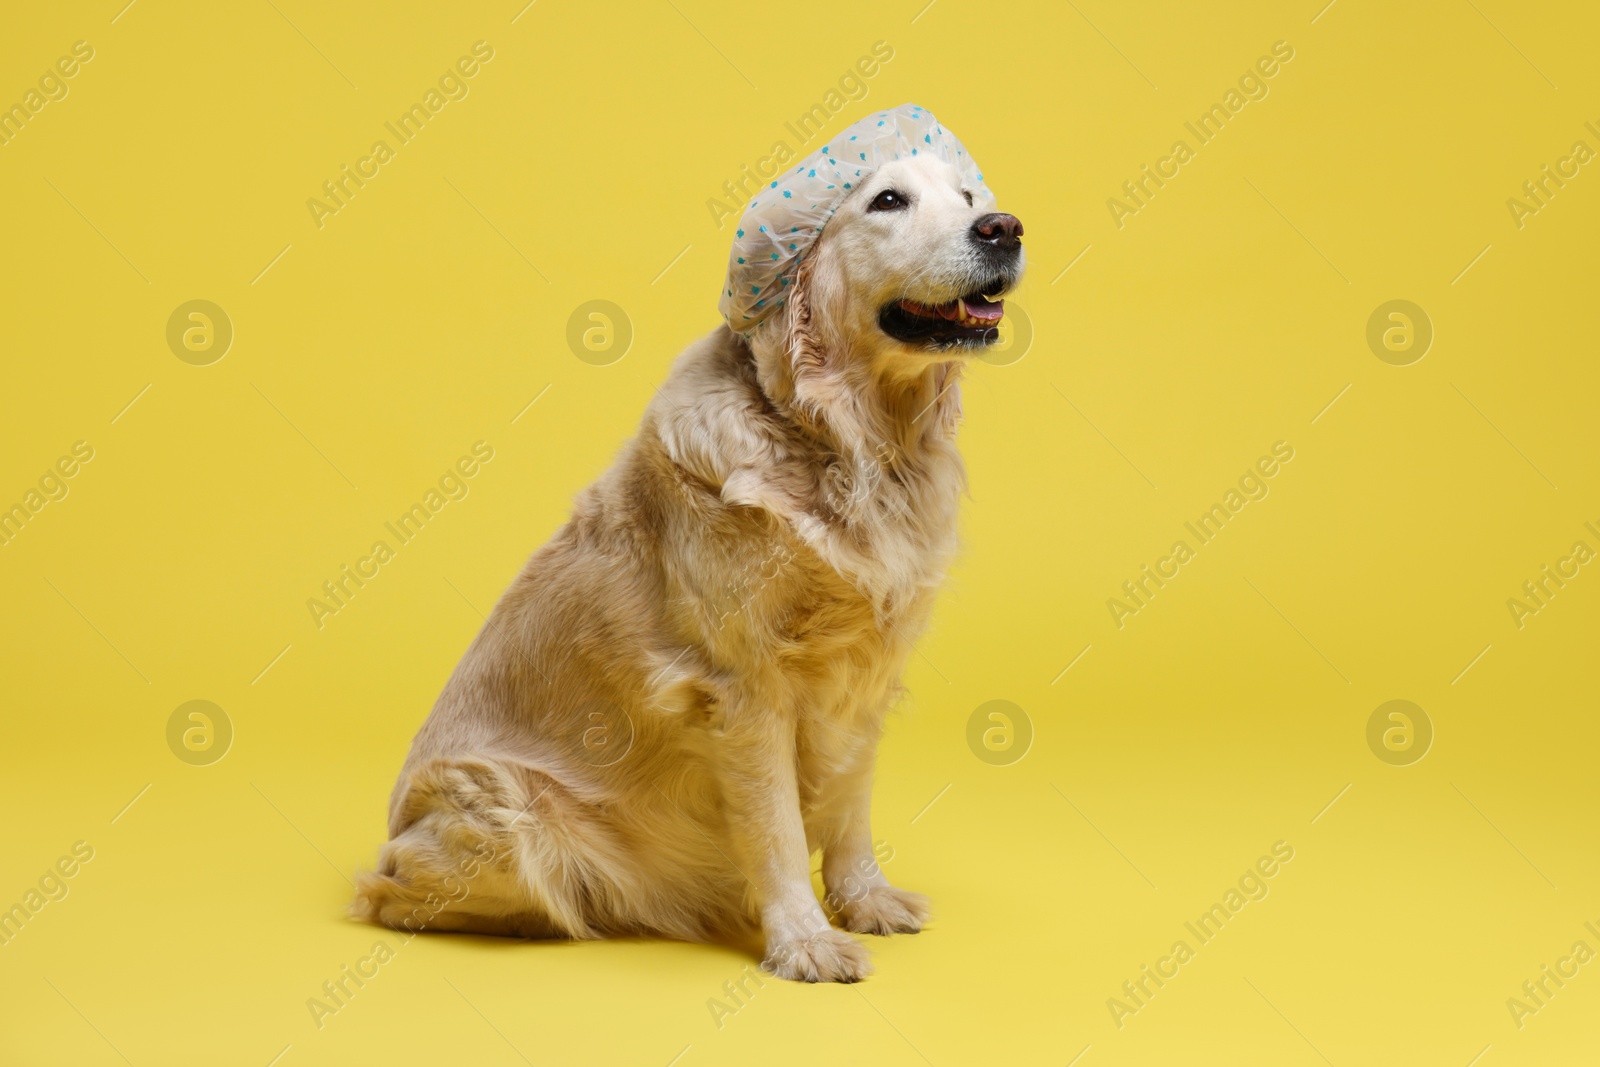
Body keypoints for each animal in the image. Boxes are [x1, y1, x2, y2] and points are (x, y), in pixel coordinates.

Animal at [353, 143, 1024, 985]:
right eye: (887, 201)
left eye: (969, 196)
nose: (1003, 228)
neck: (854, 440)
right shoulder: (744, 688)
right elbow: (775, 826)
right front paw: (803, 938)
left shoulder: (866, 671)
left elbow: (848, 802)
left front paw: (864, 899)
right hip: (502, 806)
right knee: (388, 894)